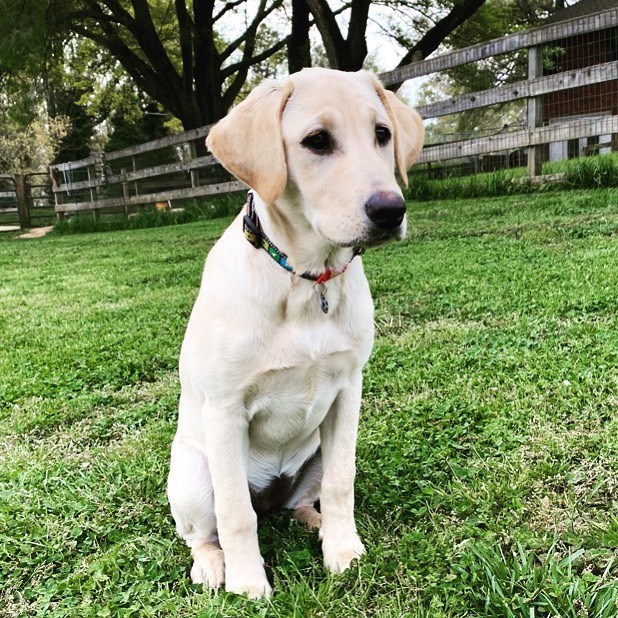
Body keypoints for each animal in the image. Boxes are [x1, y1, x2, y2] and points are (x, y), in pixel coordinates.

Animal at [166, 65, 422, 596]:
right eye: (317, 140)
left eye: (382, 134)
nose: (391, 210)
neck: (306, 280)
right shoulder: (225, 410)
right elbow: (236, 514)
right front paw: (247, 583)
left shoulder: (348, 393)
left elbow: (342, 483)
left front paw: (343, 551)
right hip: (194, 476)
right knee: (210, 528)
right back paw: (214, 564)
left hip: (315, 455)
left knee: (303, 501)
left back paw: (317, 524)